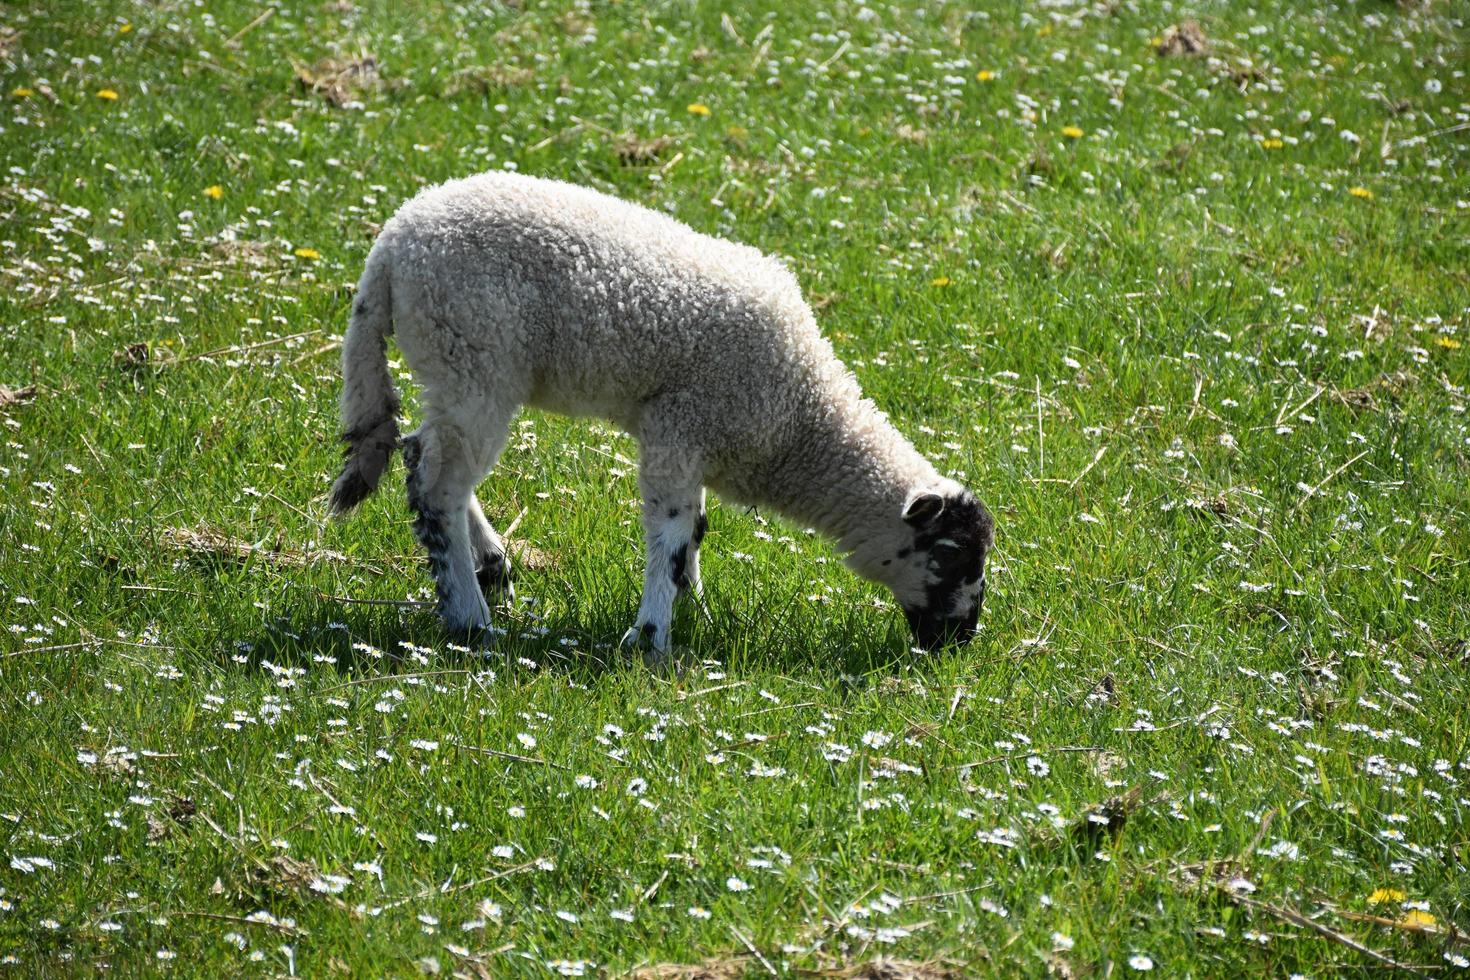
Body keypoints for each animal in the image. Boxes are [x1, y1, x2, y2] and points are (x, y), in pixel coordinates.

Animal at [332, 172, 993, 655]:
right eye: (950, 555)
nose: (960, 641)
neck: (801, 418)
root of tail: (391, 245)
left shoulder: (695, 439)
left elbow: (695, 527)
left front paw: (694, 607)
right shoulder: (679, 429)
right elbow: (672, 531)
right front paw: (651, 636)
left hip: (460, 371)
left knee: (428, 457)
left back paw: (491, 568)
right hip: (473, 355)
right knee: (438, 486)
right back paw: (471, 618)